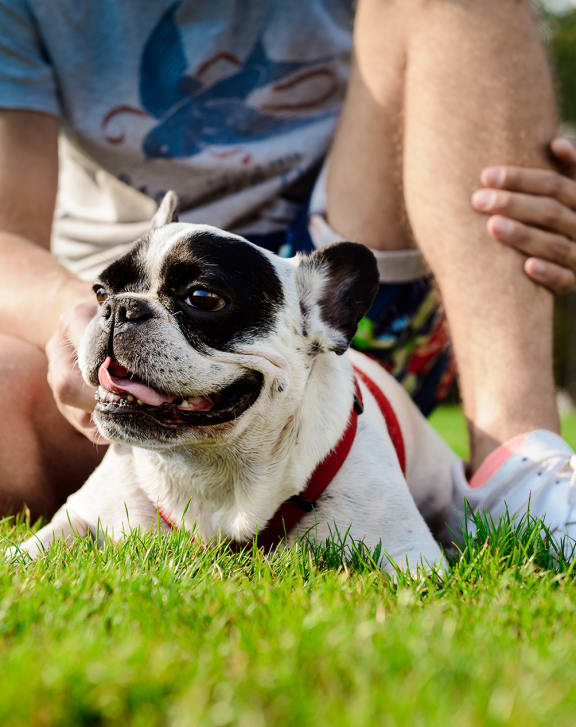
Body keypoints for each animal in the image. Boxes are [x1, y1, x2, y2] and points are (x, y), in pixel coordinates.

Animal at [10, 193, 460, 576]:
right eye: (100, 291)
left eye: (202, 298)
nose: (119, 308)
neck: (211, 465)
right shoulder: (82, 514)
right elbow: (29, 552)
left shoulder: (408, 554)